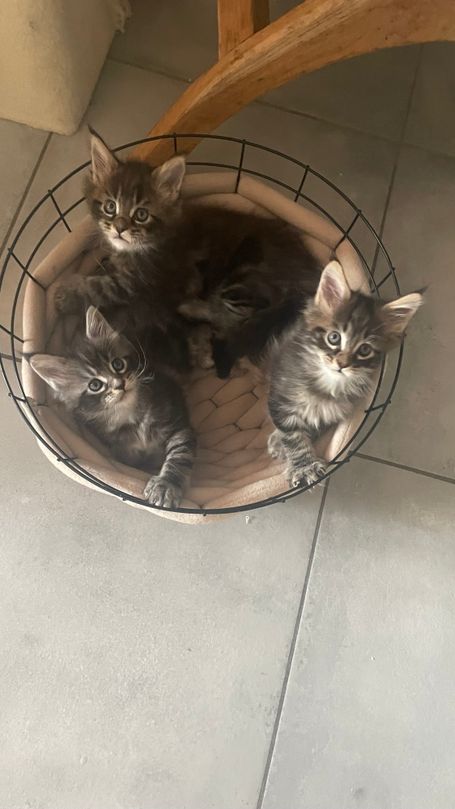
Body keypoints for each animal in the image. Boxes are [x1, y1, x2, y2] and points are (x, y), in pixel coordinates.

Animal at [29, 307, 196, 509]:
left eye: (117, 364)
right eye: (95, 385)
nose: (119, 384)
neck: (131, 416)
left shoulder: (178, 422)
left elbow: (180, 455)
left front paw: (167, 485)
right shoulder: (121, 451)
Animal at [55, 128, 321, 378]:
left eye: (141, 214)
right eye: (110, 207)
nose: (119, 229)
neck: (144, 246)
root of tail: (309, 276)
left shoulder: (142, 282)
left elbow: (100, 287)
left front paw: (65, 295)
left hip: (243, 278)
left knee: (234, 320)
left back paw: (191, 311)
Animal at [267, 260, 423, 488]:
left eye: (365, 350)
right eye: (334, 337)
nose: (341, 364)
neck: (327, 382)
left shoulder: (330, 412)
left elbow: (311, 427)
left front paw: (288, 452)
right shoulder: (280, 396)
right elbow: (292, 435)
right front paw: (302, 465)